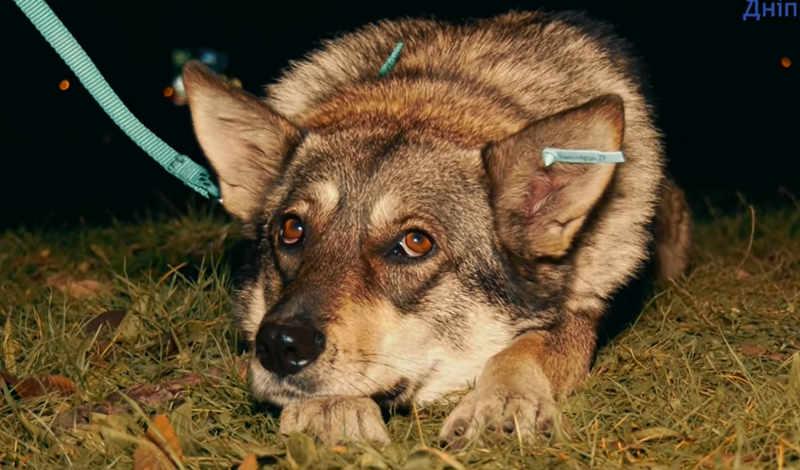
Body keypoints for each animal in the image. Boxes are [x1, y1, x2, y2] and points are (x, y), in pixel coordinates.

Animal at [184, 9, 692, 446]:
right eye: (291, 230)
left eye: (415, 242)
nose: (280, 344)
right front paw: (328, 407)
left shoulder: (582, 307)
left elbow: (527, 347)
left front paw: (501, 401)